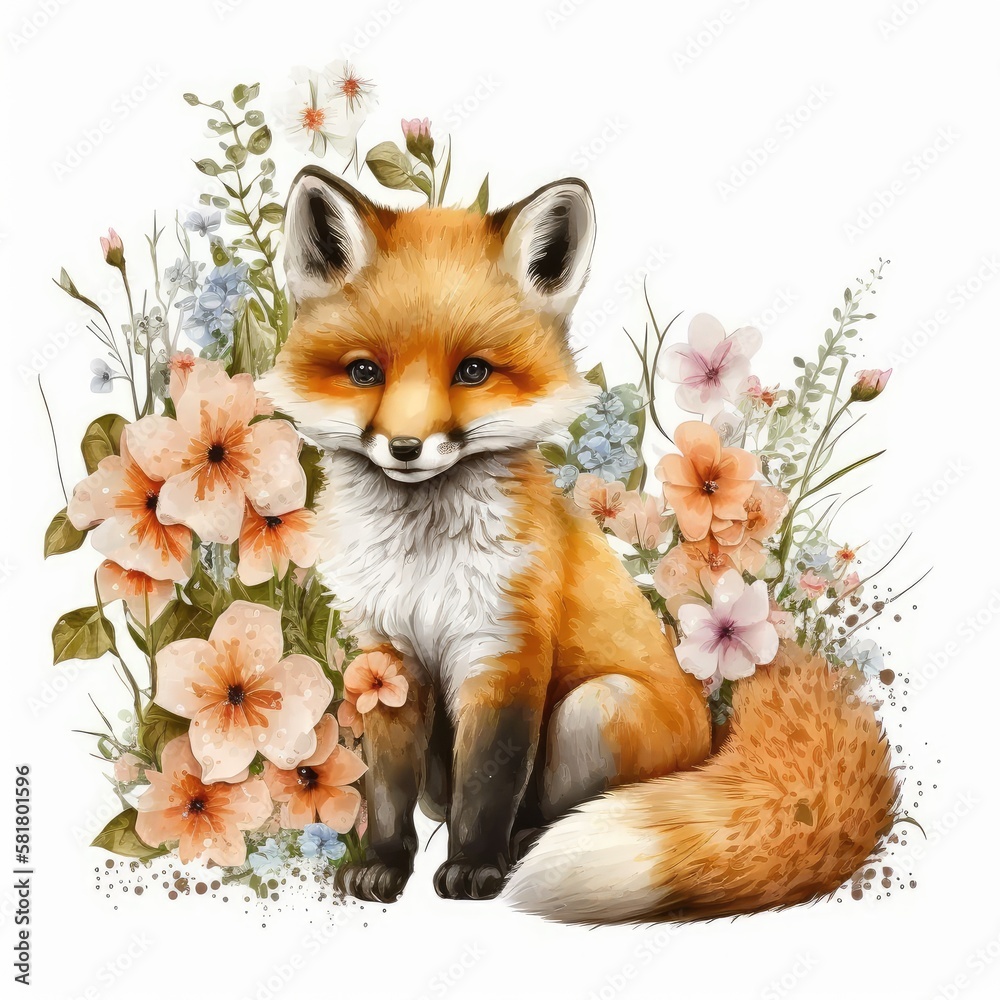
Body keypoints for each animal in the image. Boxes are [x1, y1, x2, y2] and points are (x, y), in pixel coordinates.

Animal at [260, 165, 898, 922]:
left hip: (595, 708)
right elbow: (386, 788)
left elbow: (489, 784)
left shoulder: (505, 652)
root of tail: (714, 742)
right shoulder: (384, 661)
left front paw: (474, 867)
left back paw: (525, 846)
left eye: (473, 372)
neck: (423, 562)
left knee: (559, 807)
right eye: (364, 372)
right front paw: (383, 864)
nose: (407, 448)